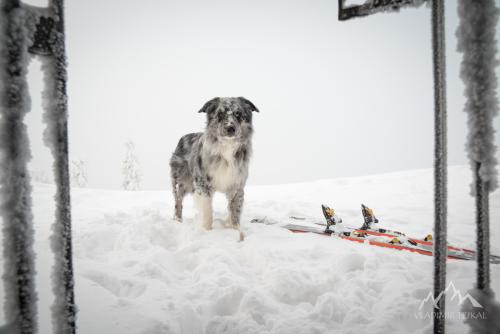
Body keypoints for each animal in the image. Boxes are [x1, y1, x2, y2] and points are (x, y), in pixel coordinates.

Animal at [170, 96, 260, 240]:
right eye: (220, 114)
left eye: (238, 114)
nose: (230, 128)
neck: (227, 147)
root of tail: (184, 137)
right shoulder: (204, 184)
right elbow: (208, 212)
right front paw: (207, 232)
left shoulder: (237, 186)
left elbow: (235, 213)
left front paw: (236, 232)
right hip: (181, 182)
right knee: (178, 203)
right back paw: (178, 221)